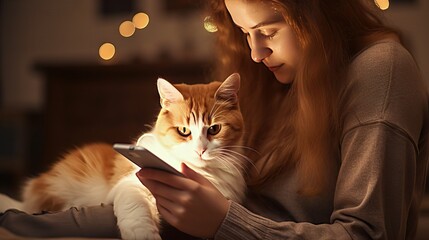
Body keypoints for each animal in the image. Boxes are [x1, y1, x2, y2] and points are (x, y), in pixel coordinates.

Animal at [0, 73, 246, 240]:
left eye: (214, 129)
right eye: (184, 131)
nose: (200, 150)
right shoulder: (130, 184)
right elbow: (134, 207)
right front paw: (143, 234)